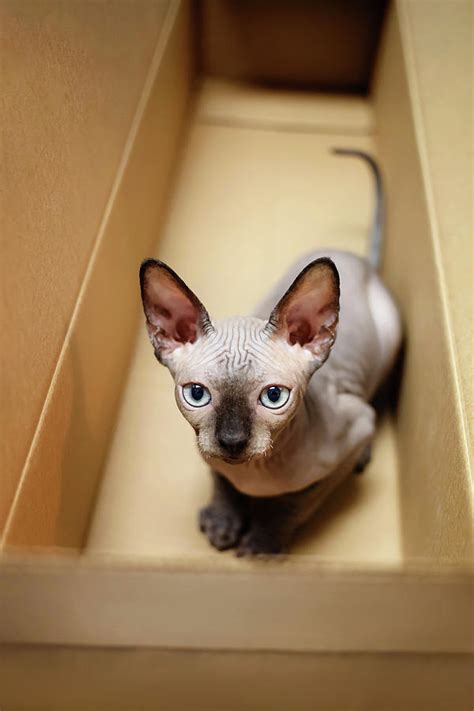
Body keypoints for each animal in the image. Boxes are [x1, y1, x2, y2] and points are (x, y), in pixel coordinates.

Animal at [138, 150, 400, 560]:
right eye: (197, 394)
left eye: (274, 397)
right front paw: (224, 519)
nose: (231, 441)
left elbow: (296, 502)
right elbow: (220, 477)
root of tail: (362, 263)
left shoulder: (352, 430)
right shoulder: (207, 451)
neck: (253, 473)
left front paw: (265, 538)